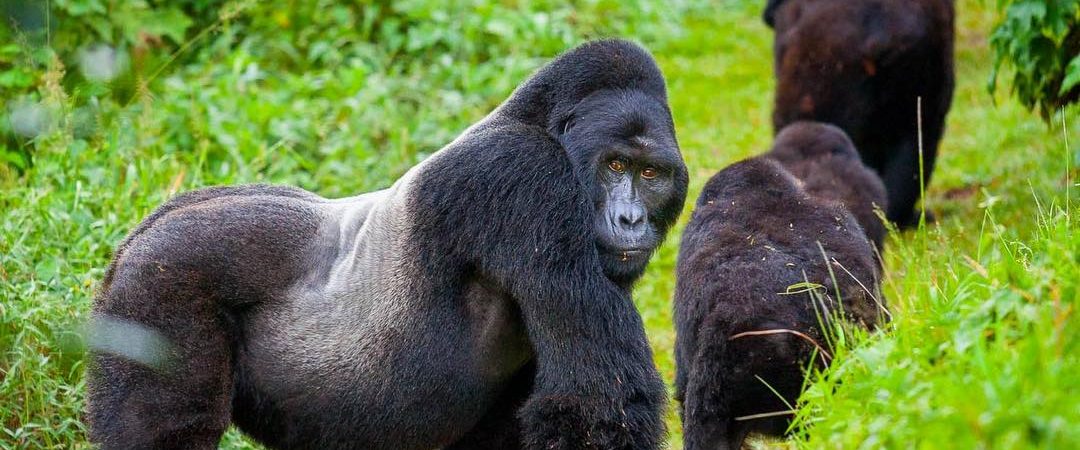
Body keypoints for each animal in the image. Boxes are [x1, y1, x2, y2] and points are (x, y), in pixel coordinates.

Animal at [88, 39, 686, 448]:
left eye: (651, 174)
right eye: (615, 166)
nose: (631, 218)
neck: (540, 124)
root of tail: (136, 239)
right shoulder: (524, 178)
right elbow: (597, 404)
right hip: (161, 281)